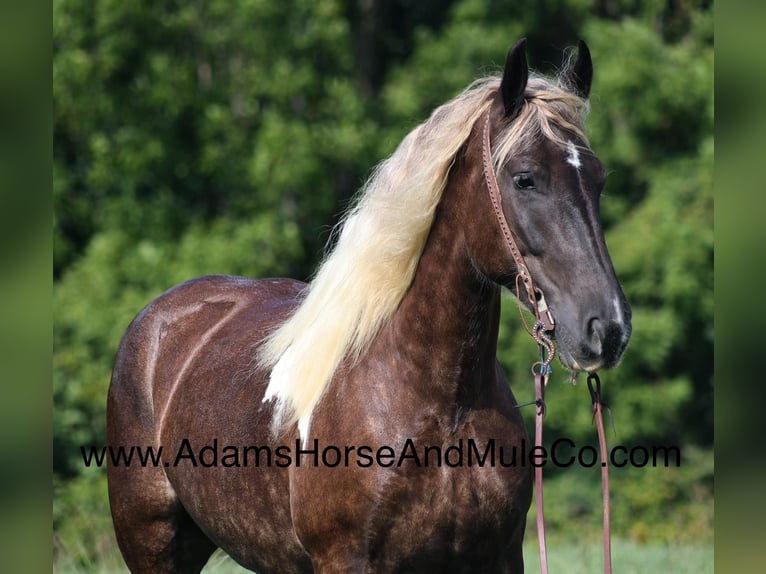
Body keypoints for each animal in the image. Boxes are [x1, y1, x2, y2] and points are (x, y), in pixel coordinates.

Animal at [107, 39, 631, 573]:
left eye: (599, 180)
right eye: (525, 178)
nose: (607, 328)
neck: (441, 407)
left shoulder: (499, 557)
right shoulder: (347, 561)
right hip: (153, 545)